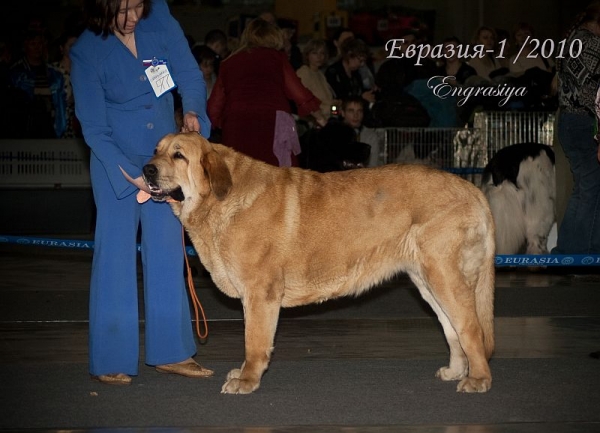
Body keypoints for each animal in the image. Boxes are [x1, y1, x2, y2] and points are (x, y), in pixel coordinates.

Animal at [143, 132, 494, 394]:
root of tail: (472, 189)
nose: (146, 169)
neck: (219, 199)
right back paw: (455, 371)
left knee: (471, 328)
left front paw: (247, 381)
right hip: (427, 281)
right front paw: (243, 374)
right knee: (452, 329)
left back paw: (478, 380)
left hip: (444, 276)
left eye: (178, 156)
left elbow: (254, 342)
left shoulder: (261, 293)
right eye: (156, 151)